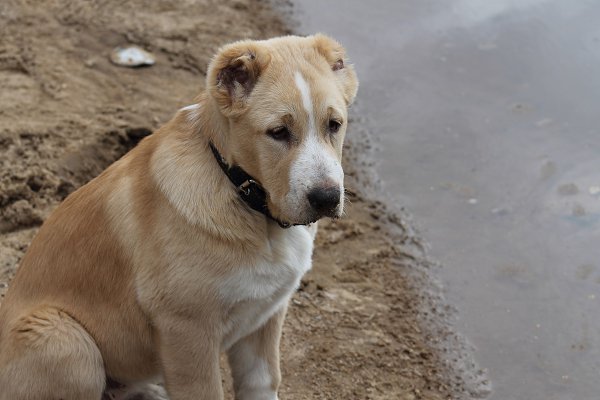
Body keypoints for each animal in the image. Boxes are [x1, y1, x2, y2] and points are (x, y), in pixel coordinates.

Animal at [0, 34, 357, 400]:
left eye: (334, 125)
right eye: (278, 132)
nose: (327, 198)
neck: (241, 195)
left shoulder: (264, 319)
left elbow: (261, 383)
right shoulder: (186, 329)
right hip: (65, 340)